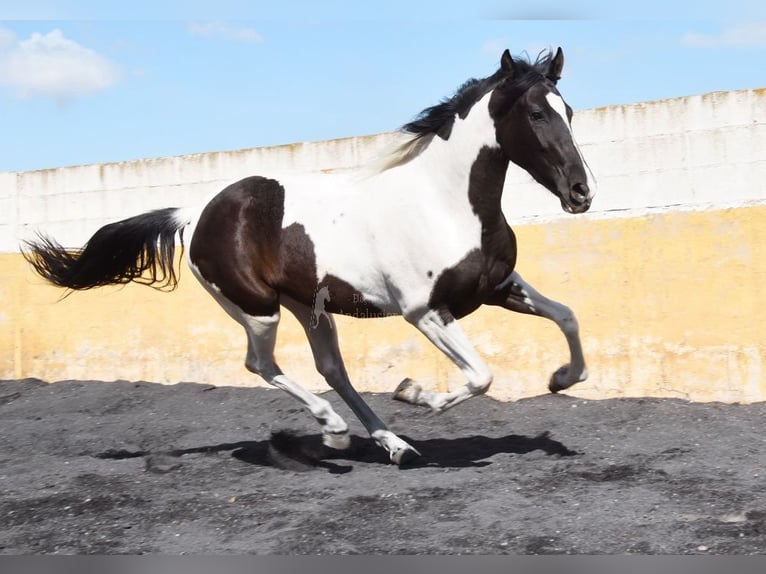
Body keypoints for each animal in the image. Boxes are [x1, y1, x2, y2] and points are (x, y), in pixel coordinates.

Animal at [23, 47, 596, 466]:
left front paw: (560, 379)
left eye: (570, 112)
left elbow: (568, 316)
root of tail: (196, 212)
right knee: (262, 364)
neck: (445, 202)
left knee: (332, 369)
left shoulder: (498, 287)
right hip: (258, 309)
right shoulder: (425, 311)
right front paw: (416, 394)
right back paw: (335, 430)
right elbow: (480, 376)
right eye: (536, 113)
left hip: (307, 306)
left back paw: (394, 446)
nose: (581, 192)